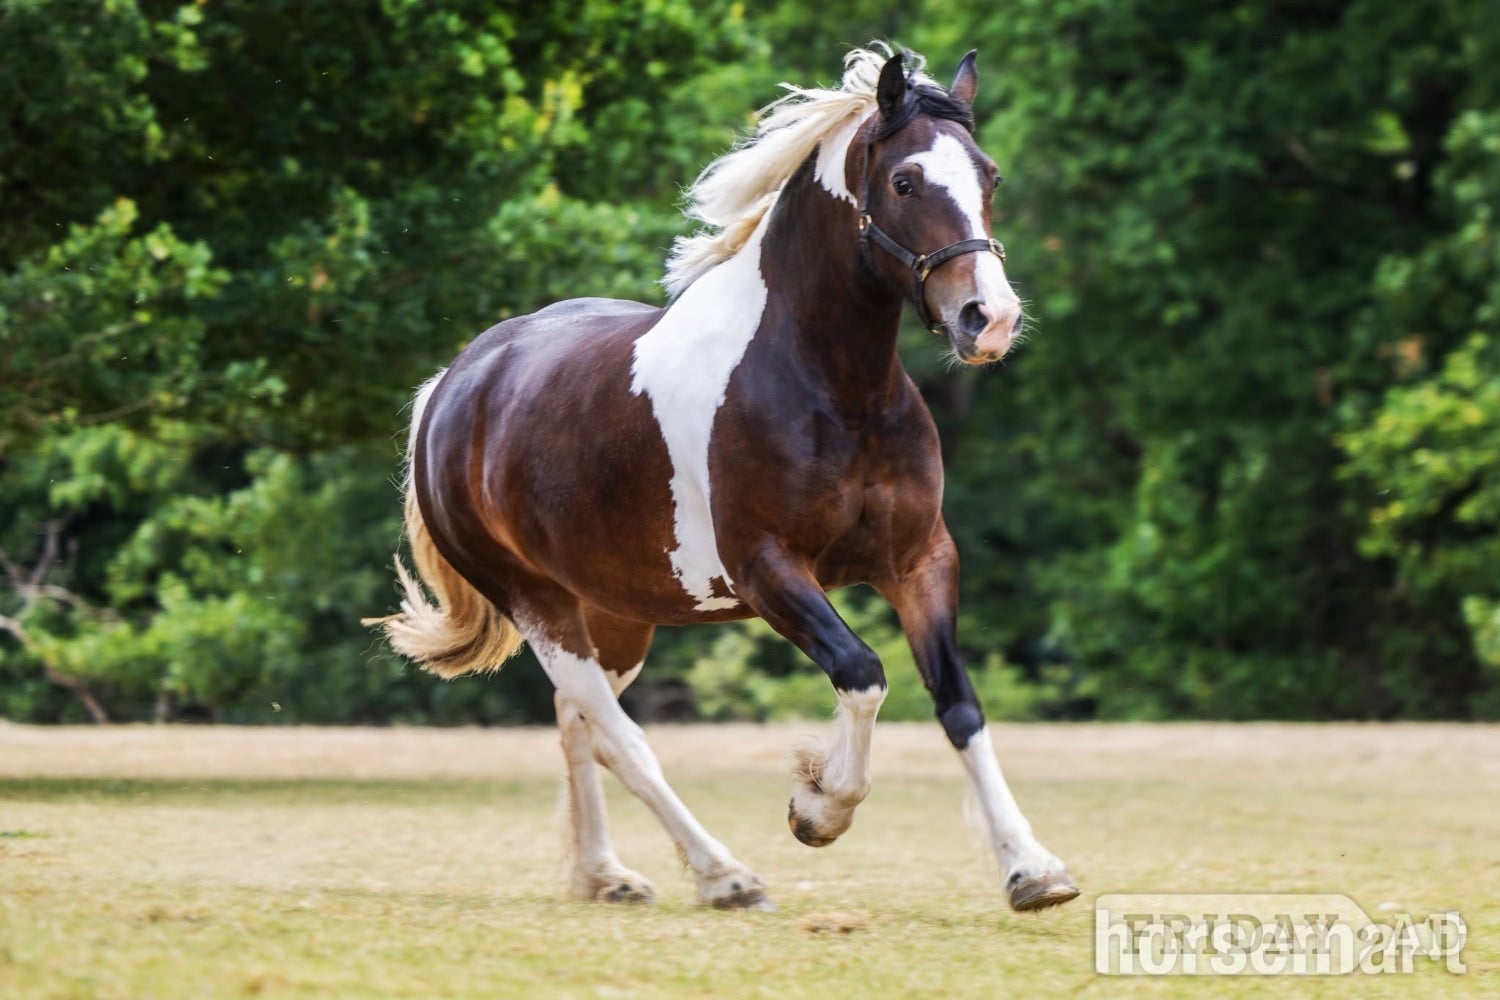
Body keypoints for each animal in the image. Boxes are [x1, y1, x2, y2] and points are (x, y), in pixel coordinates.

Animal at [365, 46, 1079, 913]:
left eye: (990, 174)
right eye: (906, 180)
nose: (990, 319)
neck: (831, 388)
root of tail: (455, 384)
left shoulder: (919, 561)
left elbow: (958, 704)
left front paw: (1031, 869)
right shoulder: (768, 571)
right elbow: (862, 676)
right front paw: (818, 807)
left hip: (616, 613)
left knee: (578, 723)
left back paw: (606, 875)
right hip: (540, 605)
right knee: (619, 736)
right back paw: (724, 875)